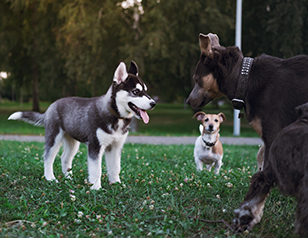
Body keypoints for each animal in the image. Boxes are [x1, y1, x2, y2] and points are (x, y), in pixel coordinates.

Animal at [8, 61, 156, 190]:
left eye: (145, 91)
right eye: (136, 92)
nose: (153, 103)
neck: (115, 116)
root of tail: (51, 105)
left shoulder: (115, 146)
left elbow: (115, 168)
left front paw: (116, 184)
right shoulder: (95, 145)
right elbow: (96, 170)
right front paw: (96, 188)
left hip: (73, 141)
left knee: (65, 158)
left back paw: (68, 178)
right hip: (54, 137)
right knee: (48, 157)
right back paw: (50, 178)